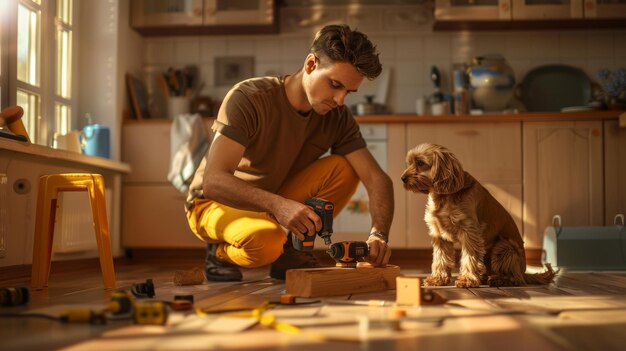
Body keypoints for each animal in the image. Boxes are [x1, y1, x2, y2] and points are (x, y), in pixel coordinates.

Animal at [402, 143, 552, 288]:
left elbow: (470, 257)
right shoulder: (439, 234)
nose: (402, 178)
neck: (444, 197)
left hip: (504, 247)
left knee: (517, 278)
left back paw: (500, 280)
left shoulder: (470, 231)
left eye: (420, 163)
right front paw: (438, 279)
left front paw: (467, 280)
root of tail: (524, 271)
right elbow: (440, 258)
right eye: (409, 162)